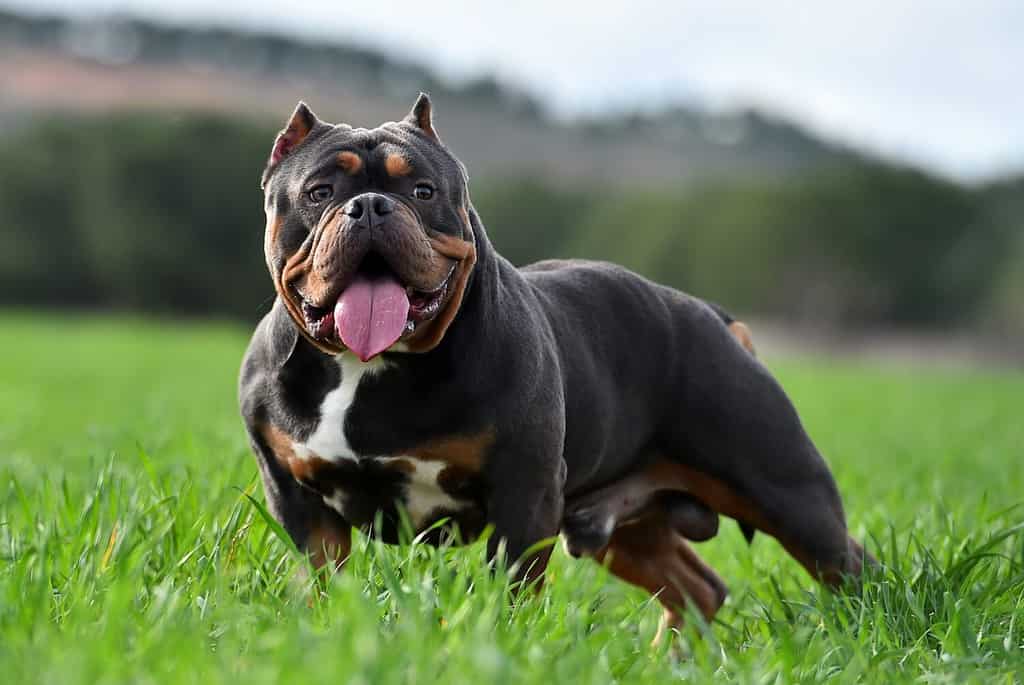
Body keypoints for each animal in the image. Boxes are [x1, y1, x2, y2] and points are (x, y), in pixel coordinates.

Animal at [239, 93, 872, 626]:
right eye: (320, 193)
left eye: (422, 191)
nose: (369, 206)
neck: (366, 366)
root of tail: (714, 317)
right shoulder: (297, 500)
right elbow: (322, 576)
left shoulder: (525, 493)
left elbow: (512, 585)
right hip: (625, 525)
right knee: (697, 586)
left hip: (785, 488)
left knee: (846, 564)